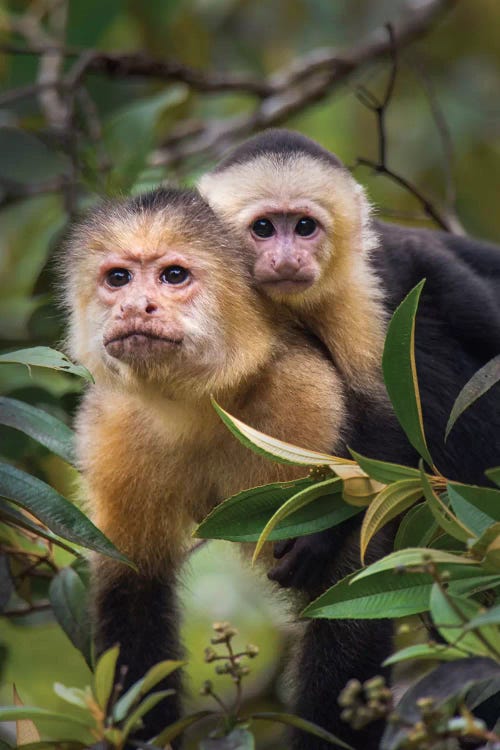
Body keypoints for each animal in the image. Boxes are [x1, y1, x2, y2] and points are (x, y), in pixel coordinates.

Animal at [61, 189, 390, 750]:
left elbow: (350, 594)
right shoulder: (112, 424)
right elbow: (133, 594)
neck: (201, 402)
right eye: (118, 278)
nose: (134, 306)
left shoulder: (305, 404)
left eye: (173, 276)